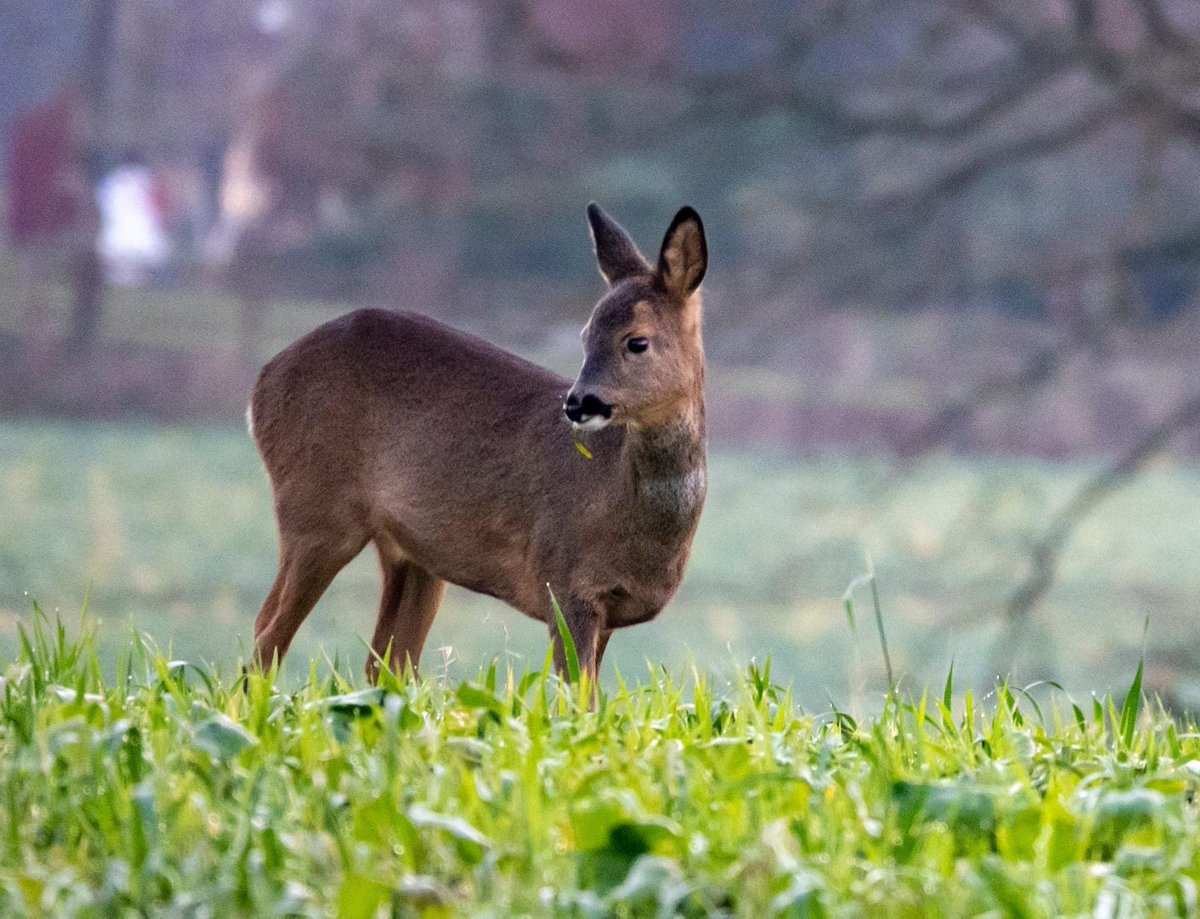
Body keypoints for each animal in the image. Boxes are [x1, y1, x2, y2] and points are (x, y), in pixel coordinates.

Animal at [248, 203, 708, 683]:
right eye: (585, 336)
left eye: (637, 341)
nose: (577, 403)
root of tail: (262, 381)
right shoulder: (564, 584)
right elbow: (578, 695)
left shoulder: (606, 610)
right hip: (315, 506)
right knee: (268, 636)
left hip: (411, 554)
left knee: (385, 661)